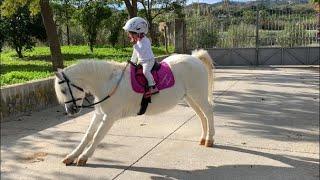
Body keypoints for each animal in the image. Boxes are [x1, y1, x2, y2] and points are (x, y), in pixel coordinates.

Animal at [54, 49, 215, 166]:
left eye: (63, 90)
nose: (71, 111)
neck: (108, 83)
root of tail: (195, 58)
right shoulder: (99, 114)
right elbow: (87, 135)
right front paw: (71, 156)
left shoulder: (109, 117)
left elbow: (97, 136)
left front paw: (83, 157)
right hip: (190, 98)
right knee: (201, 115)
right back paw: (203, 138)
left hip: (198, 95)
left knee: (208, 112)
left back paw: (209, 139)